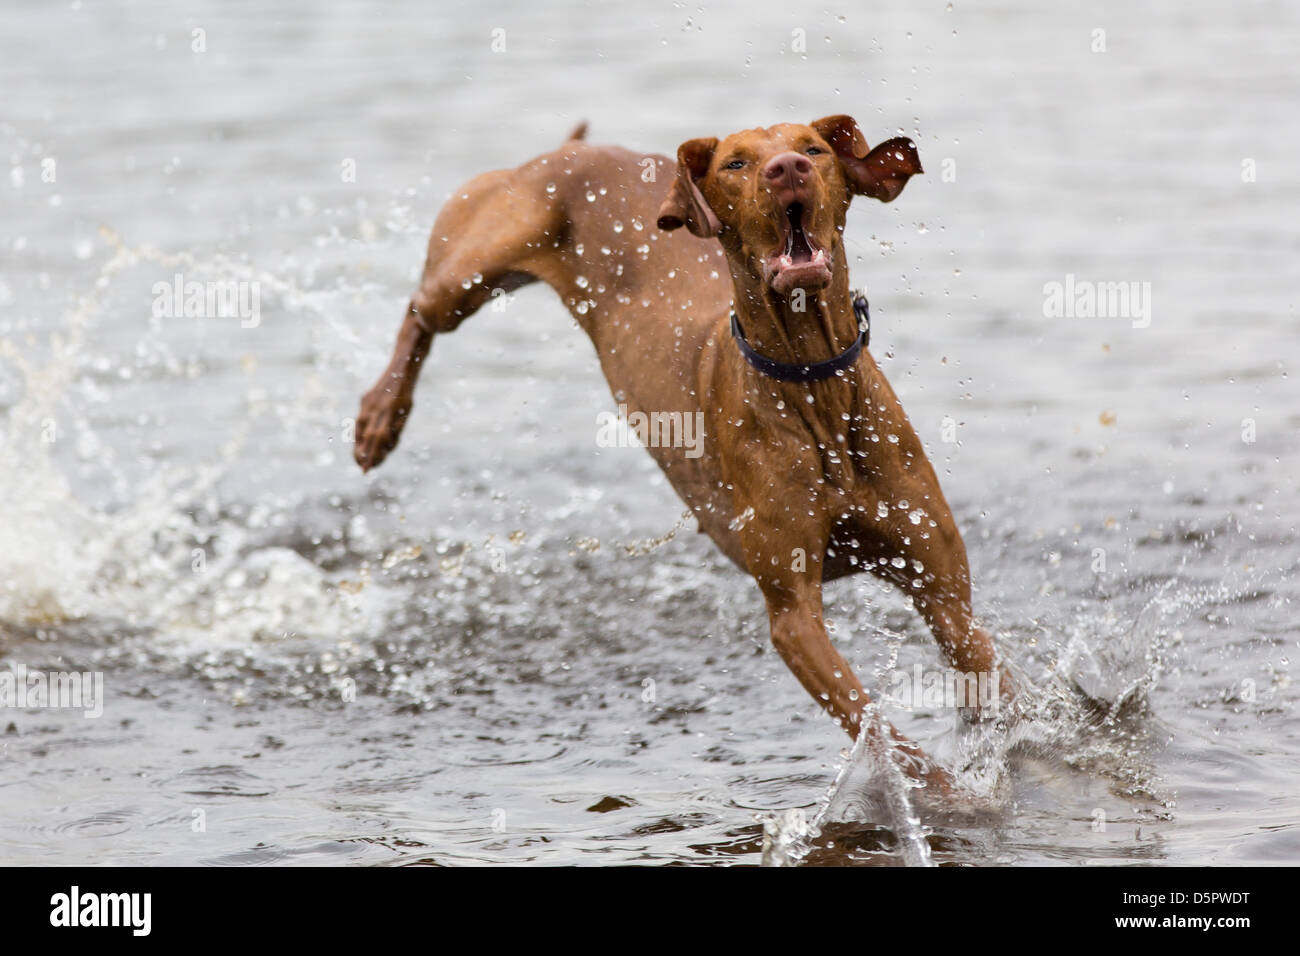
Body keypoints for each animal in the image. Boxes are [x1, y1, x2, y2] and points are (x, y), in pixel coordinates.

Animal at [356, 115, 1013, 790]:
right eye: (736, 164)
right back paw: (381, 416)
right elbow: (879, 728)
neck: (814, 386)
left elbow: (988, 679)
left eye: (814, 148)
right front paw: (945, 789)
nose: (788, 169)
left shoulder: (942, 589)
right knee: (418, 309)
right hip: (472, 268)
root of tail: (574, 151)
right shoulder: (792, 615)